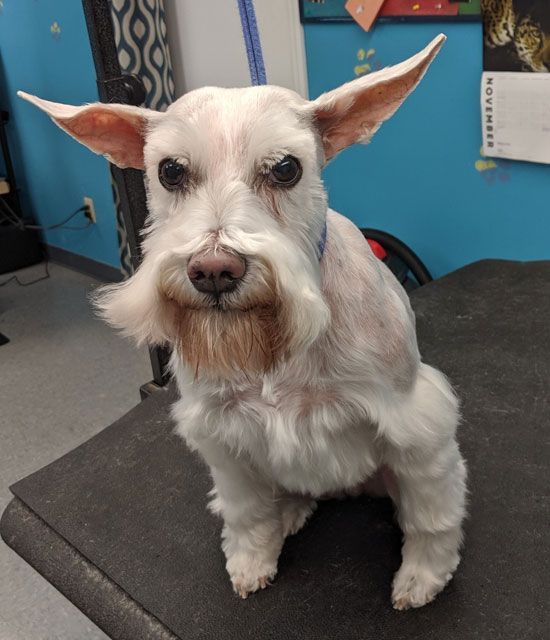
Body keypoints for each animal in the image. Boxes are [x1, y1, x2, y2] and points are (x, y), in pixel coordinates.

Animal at [20, 31, 466, 608]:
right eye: (169, 170)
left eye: (286, 168)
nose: (214, 270)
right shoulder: (225, 437)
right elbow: (247, 513)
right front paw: (253, 560)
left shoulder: (416, 427)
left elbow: (431, 516)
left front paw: (423, 577)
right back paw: (290, 512)